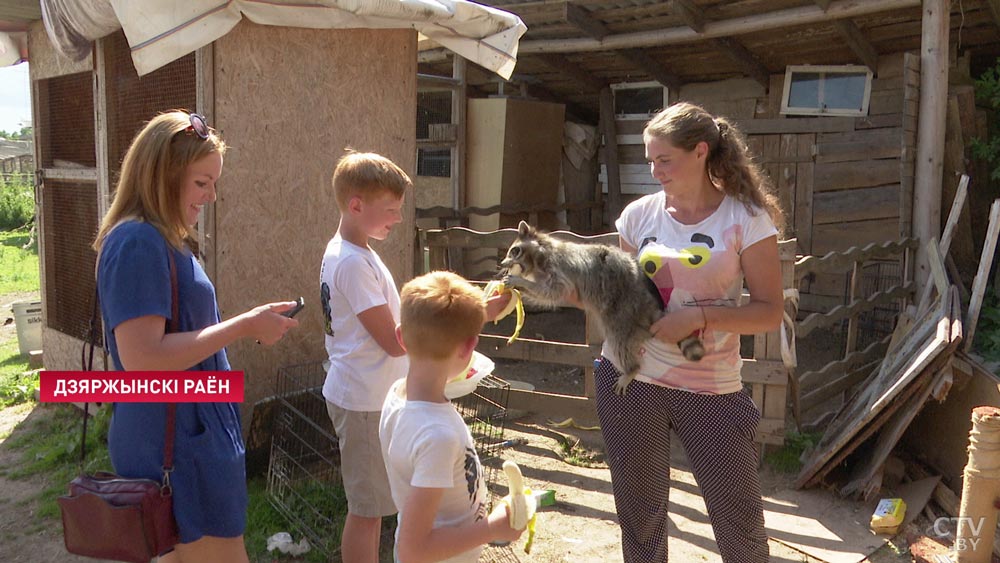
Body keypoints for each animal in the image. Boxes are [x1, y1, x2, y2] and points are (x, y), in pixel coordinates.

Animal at [498, 221, 704, 396]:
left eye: (514, 251)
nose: (502, 264)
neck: (539, 256)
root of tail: (647, 302)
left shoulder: (559, 267)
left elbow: (552, 292)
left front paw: (522, 283)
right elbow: (546, 293)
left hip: (624, 310)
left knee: (619, 340)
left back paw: (631, 369)